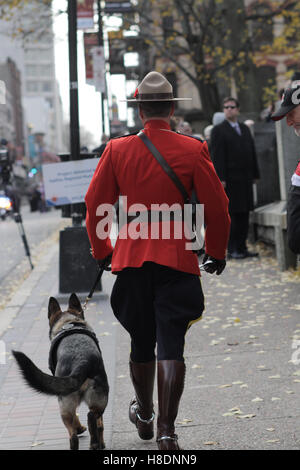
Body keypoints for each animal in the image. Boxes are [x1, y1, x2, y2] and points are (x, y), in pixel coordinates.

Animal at [12, 294, 109, 452]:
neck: (69, 323)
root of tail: (82, 362)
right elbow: (100, 425)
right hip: (97, 401)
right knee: (92, 423)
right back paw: (95, 444)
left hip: (67, 405)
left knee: (79, 429)